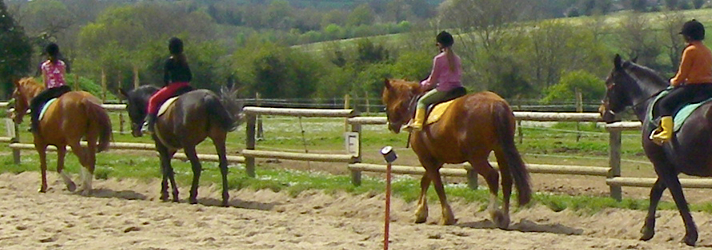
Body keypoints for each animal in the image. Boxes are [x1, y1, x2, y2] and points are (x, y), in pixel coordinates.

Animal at [384, 78, 528, 229]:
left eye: (387, 99)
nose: (392, 126)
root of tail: (496, 103)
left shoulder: (425, 158)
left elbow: (437, 185)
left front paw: (446, 216)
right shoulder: (437, 159)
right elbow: (425, 181)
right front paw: (420, 213)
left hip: (476, 158)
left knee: (492, 176)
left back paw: (495, 213)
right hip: (500, 150)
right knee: (507, 180)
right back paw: (505, 218)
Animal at [596, 53, 712, 245]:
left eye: (608, 82)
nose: (602, 110)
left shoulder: (661, 164)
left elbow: (677, 196)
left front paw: (689, 235)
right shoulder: (671, 165)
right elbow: (656, 191)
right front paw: (647, 230)